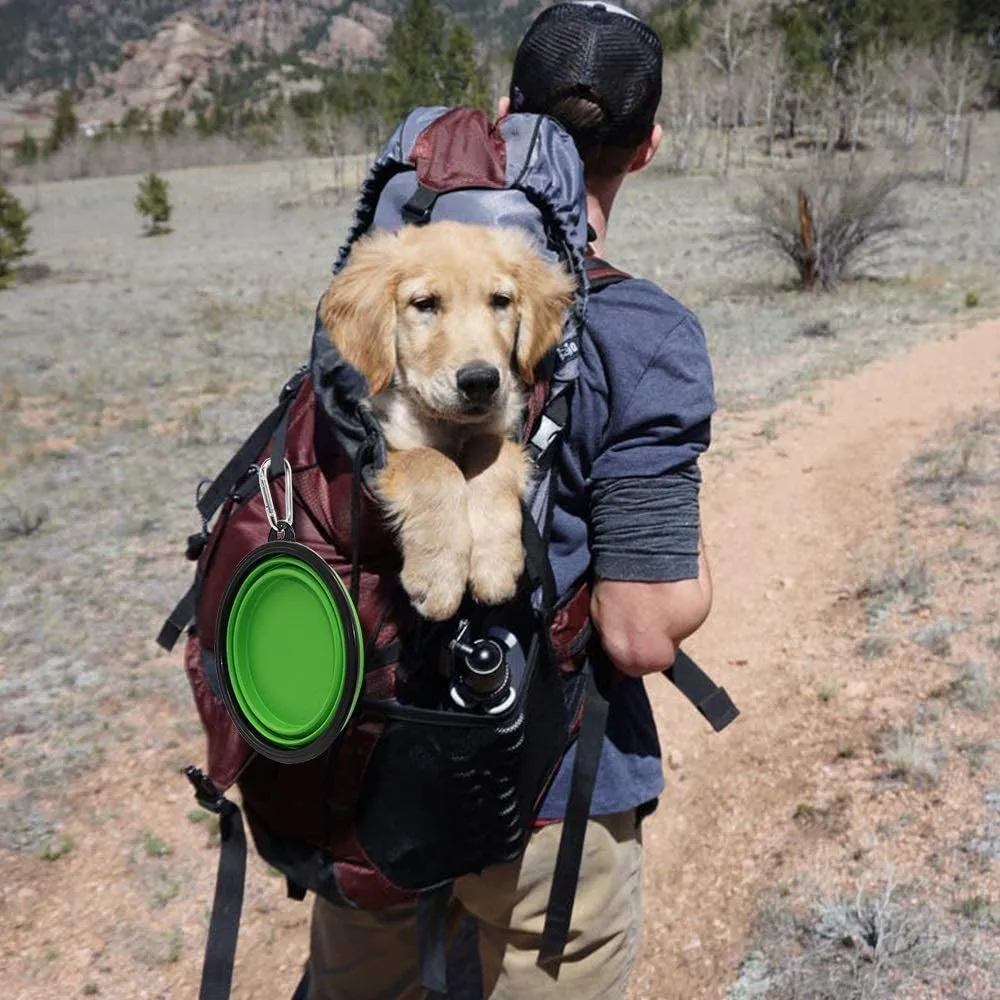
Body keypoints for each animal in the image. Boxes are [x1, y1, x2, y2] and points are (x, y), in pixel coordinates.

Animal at [316, 223, 576, 620]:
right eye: (425, 304)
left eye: (500, 301)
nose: (481, 381)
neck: (451, 426)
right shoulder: (386, 443)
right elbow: (433, 463)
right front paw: (438, 575)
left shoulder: (501, 427)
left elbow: (490, 453)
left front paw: (494, 562)